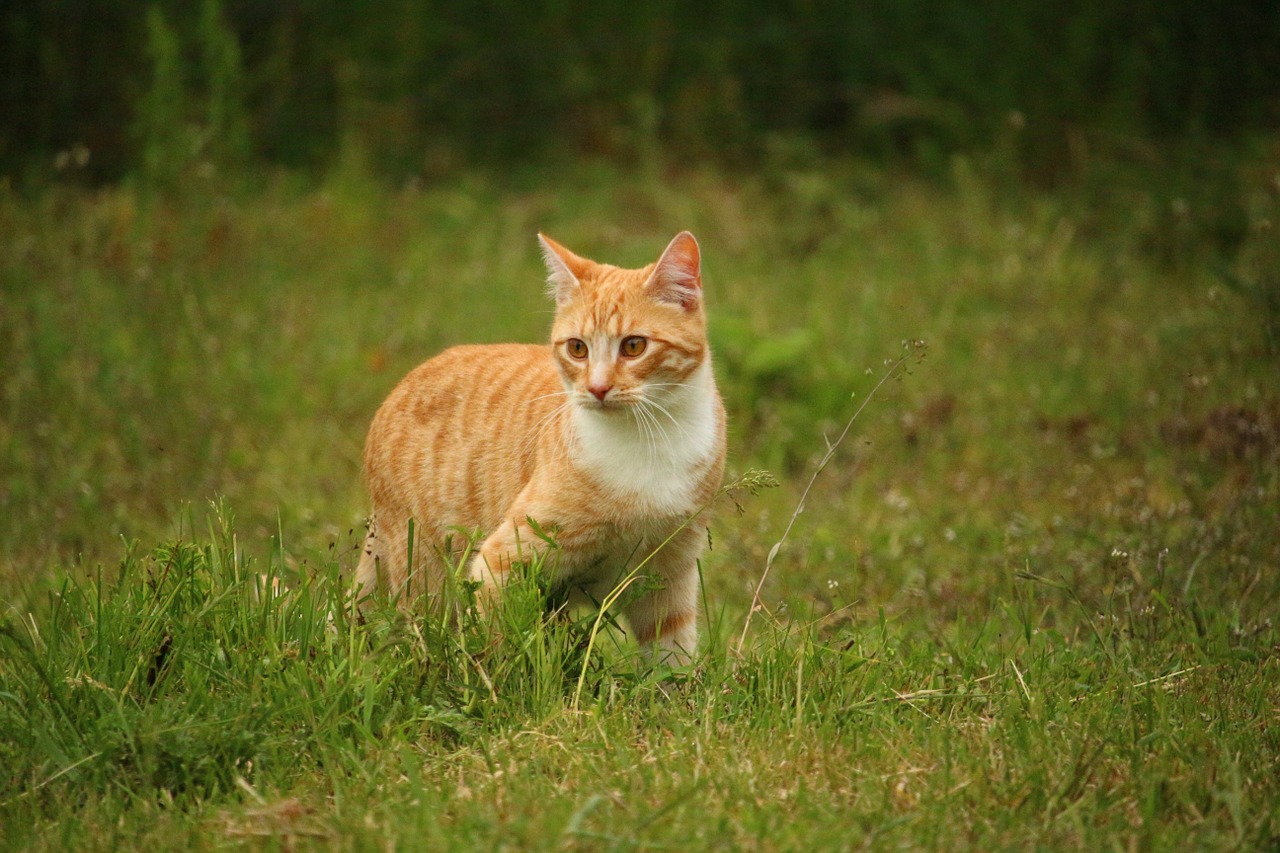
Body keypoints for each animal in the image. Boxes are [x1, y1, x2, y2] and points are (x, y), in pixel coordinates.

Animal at [355, 229, 727, 660]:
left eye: (634, 346)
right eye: (577, 348)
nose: (597, 388)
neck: (648, 438)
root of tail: (398, 387)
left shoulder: (670, 572)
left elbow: (672, 662)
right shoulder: (500, 564)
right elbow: (498, 650)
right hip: (426, 579)